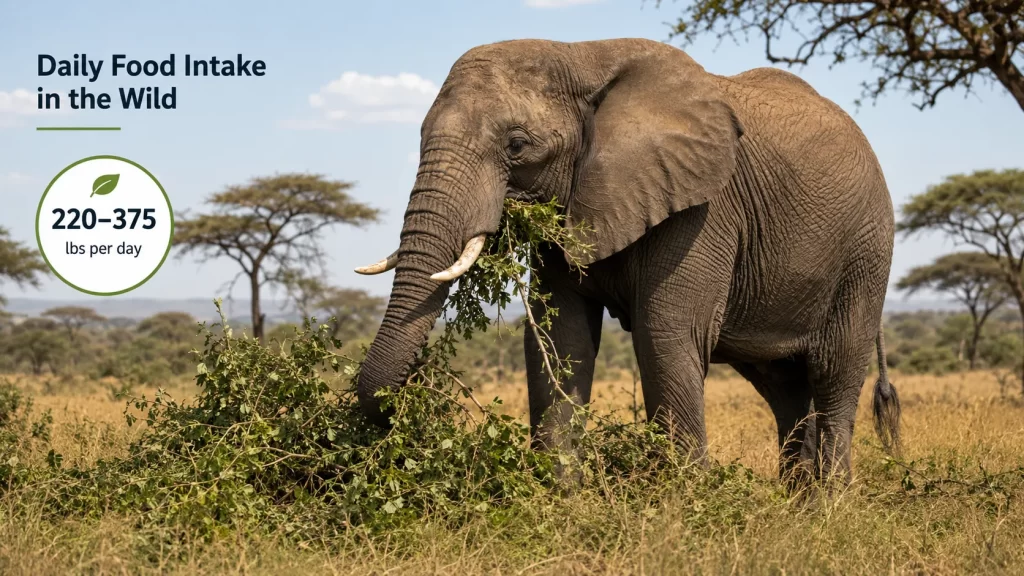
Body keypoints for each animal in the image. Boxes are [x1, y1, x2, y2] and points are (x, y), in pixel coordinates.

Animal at [354, 38, 901, 484]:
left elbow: (665, 333)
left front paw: (685, 507)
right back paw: (797, 508)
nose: (414, 391)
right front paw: (559, 501)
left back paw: (830, 505)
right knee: (783, 388)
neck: (581, 57)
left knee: (833, 374)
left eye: (517, 145)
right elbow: (561, 339)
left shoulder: (702, 208)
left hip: (866, 251)